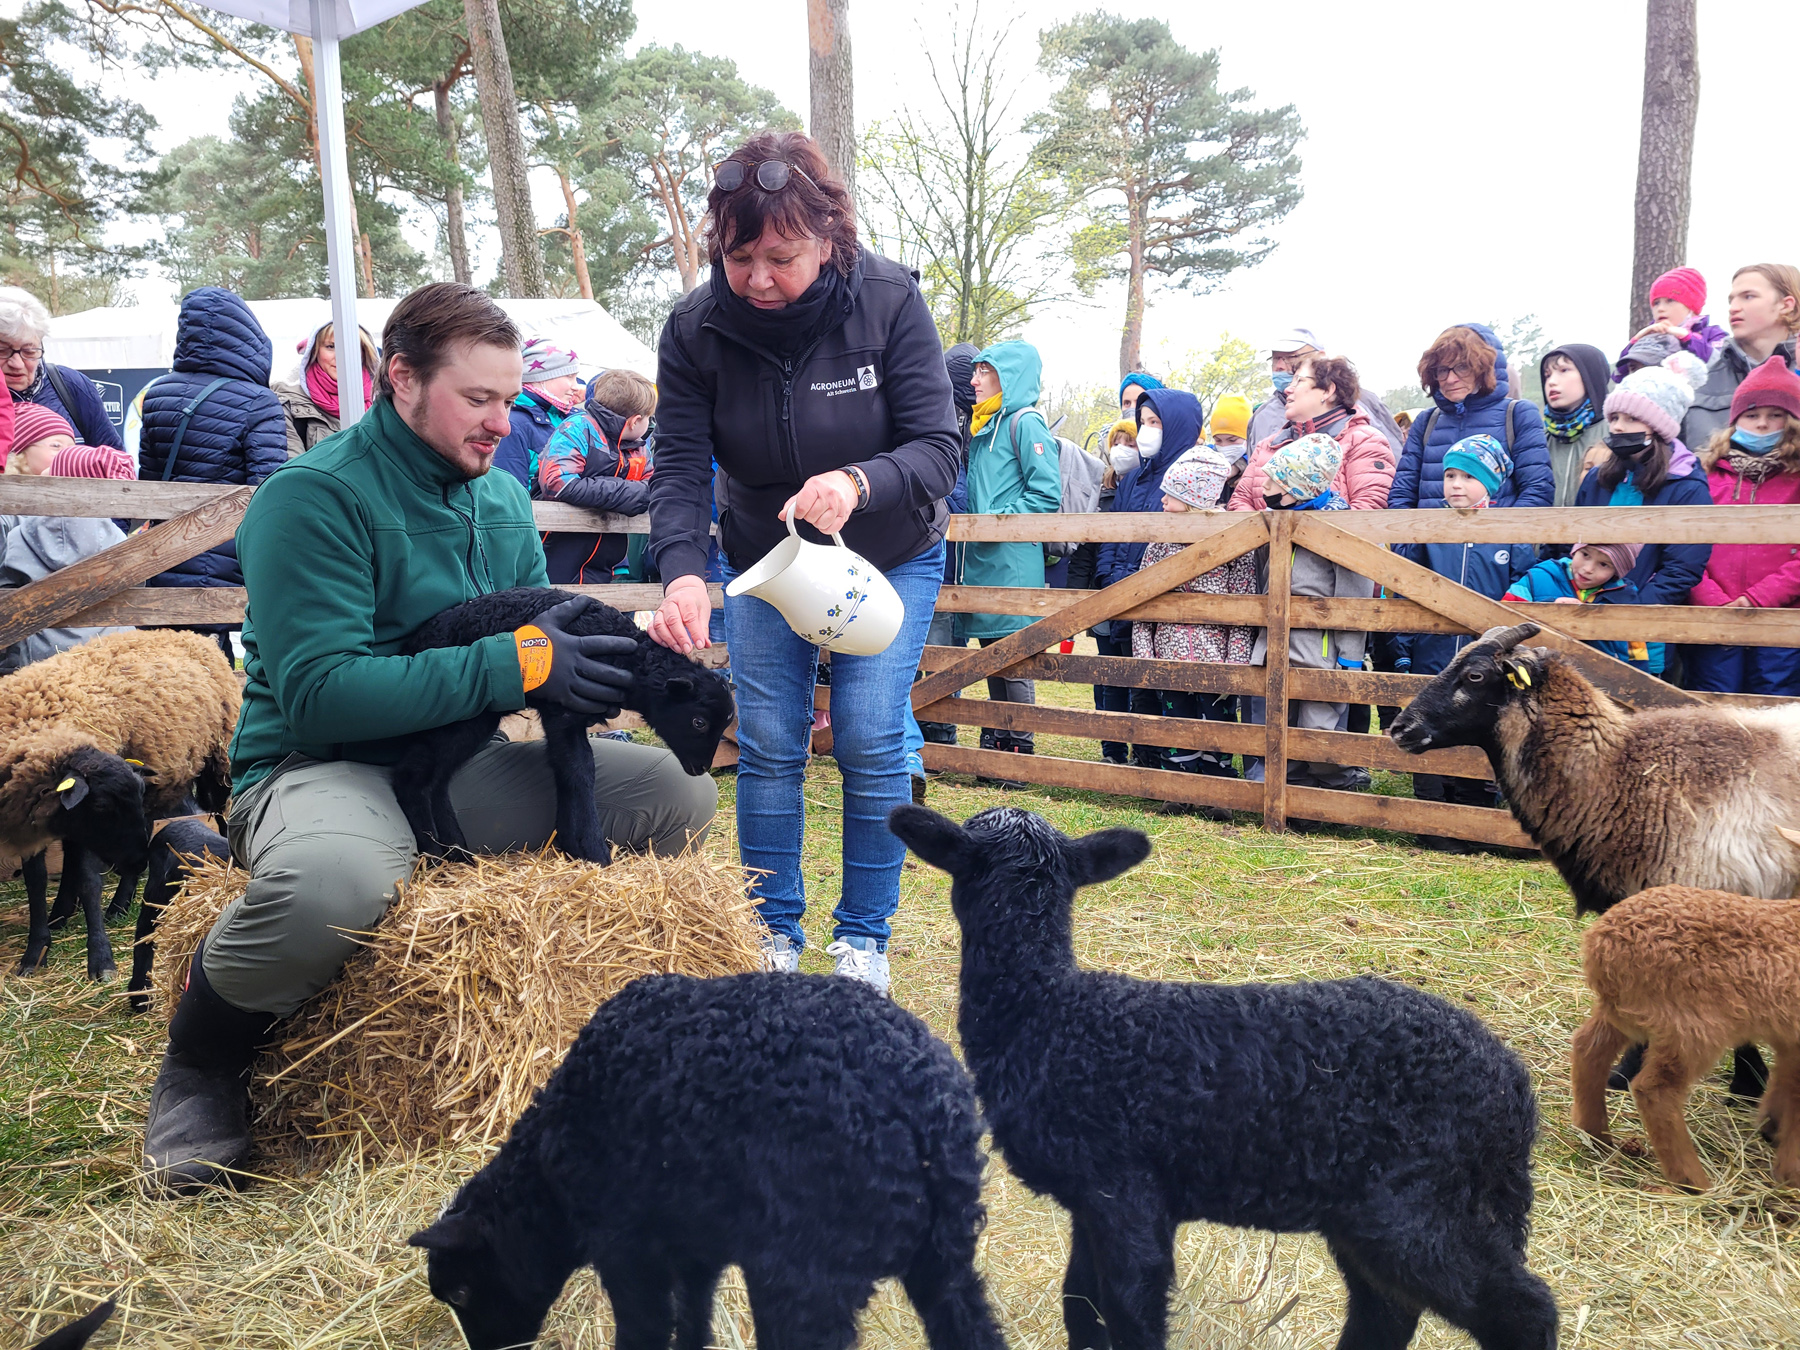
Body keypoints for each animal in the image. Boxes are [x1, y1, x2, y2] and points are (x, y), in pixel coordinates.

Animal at [396, 590, 730, 867]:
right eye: (699, 722)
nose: (701, 768)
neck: (627, 659)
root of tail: (413, 644)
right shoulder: (563, 710)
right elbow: (579, 770)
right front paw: (594, 851)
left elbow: (568, 769)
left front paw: (572, 844)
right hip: (454, 714)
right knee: (414, 777)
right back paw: (434, 854)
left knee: (438, 780)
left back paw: (458, 853)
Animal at [408, 972, 1008, 1350]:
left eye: (461, 1292)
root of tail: (927, 1117)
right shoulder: (697, 1245)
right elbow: (694, 1321)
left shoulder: (628, 1250)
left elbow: (646, 1332)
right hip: (944, 1263)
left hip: (805, 1280)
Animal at [892, 810, 1555, 1346]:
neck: (1046, 1011)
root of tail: (1514, 1089)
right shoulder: (1092, 1194)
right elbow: (1080, 1306)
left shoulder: (1126, 1186)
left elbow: (1129, 1311)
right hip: (1376, 1212)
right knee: (1386, 1311)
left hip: (1415, 1204)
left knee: (1522, 1308)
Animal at [1576, 889, 1800, 1195]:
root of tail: (1601, 944)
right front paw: (1791, 1173)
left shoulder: (1790, 1039)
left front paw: (1772, 1132)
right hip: (1691, 1029)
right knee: (1655, 1090)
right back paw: (1693, 1182)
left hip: (1624, 1016)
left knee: (1587, 1049)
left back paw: (1595, 1134)